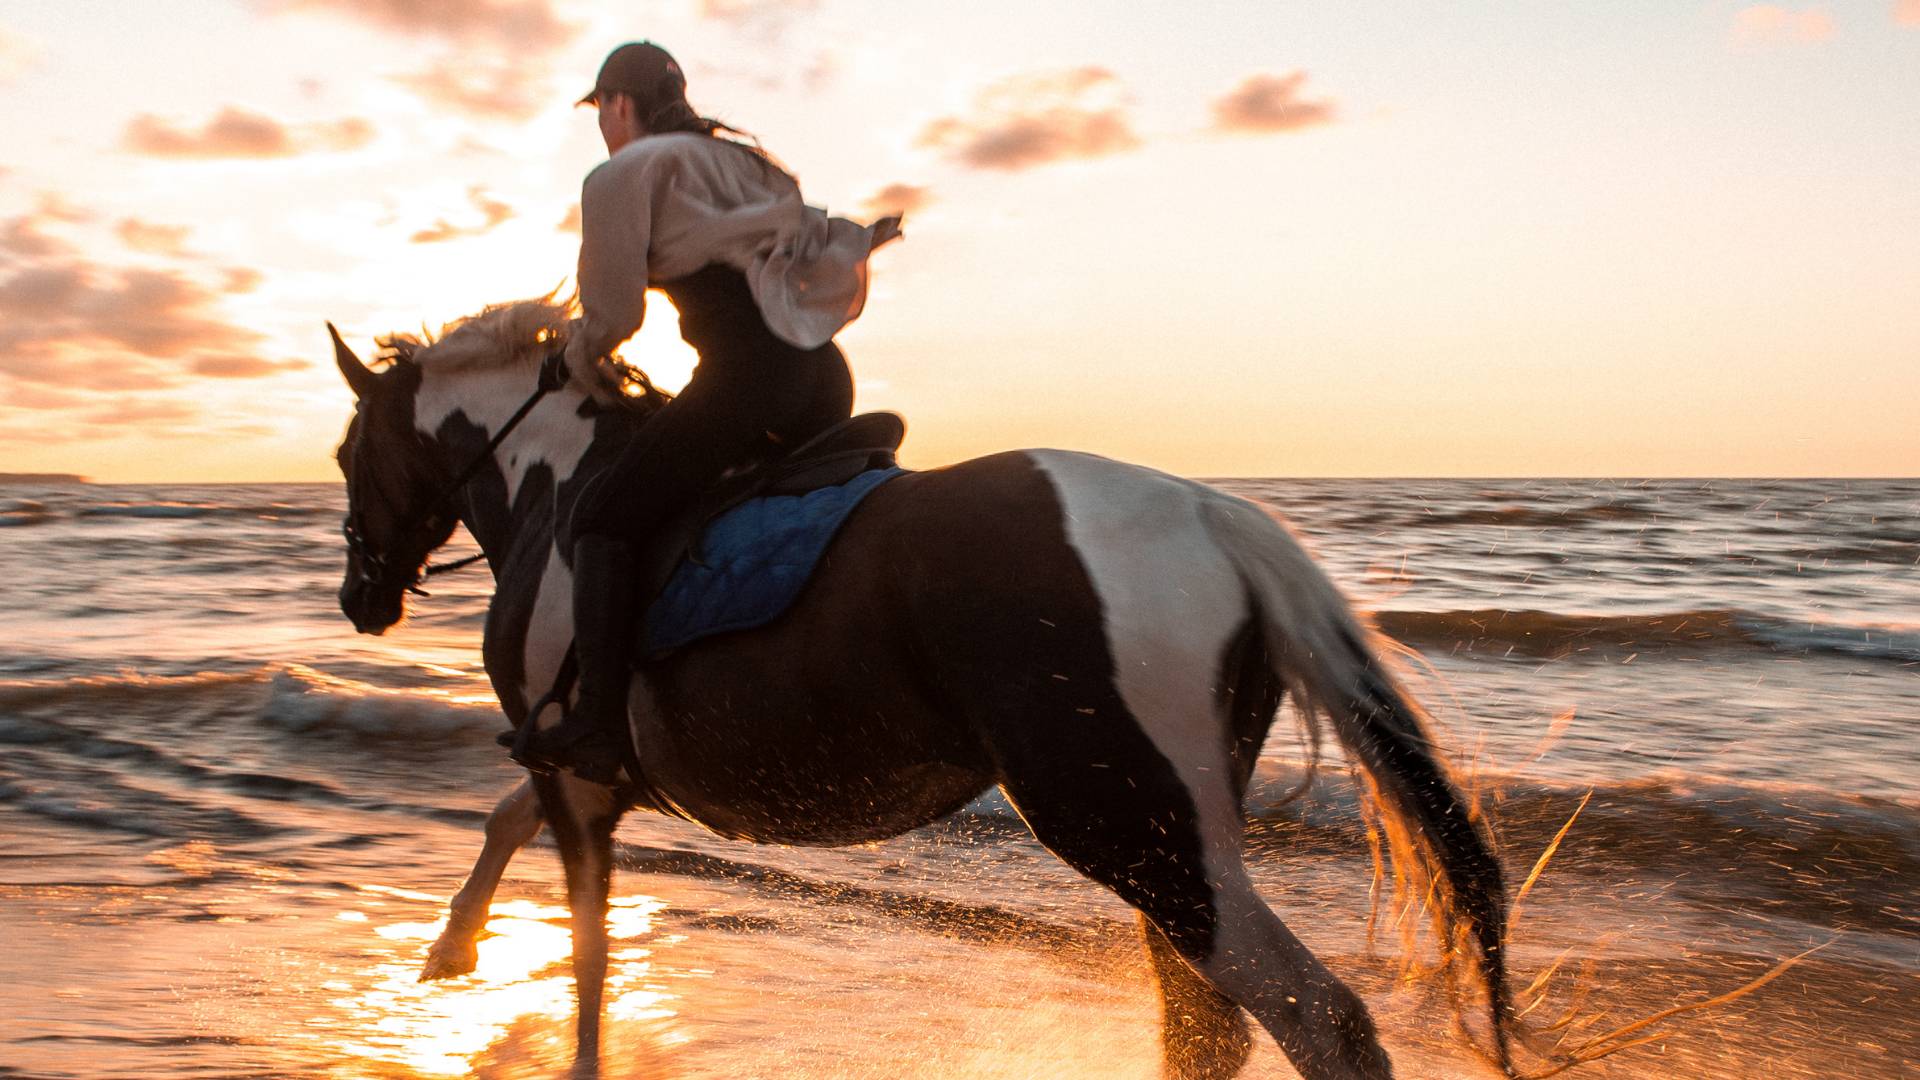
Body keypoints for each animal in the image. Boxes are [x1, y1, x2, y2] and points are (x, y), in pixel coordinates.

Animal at [330, 299, 1512, 1076]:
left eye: (347, 453)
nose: (360, 597)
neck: (559, 487)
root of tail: (1215, 519)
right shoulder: (584, 764)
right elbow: (507, 820)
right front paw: (448, 950)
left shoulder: (577, 772)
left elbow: (583, 956)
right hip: (1167, 833)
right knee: (1210, 1028)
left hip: (1130, 826)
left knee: (1316, 1019)